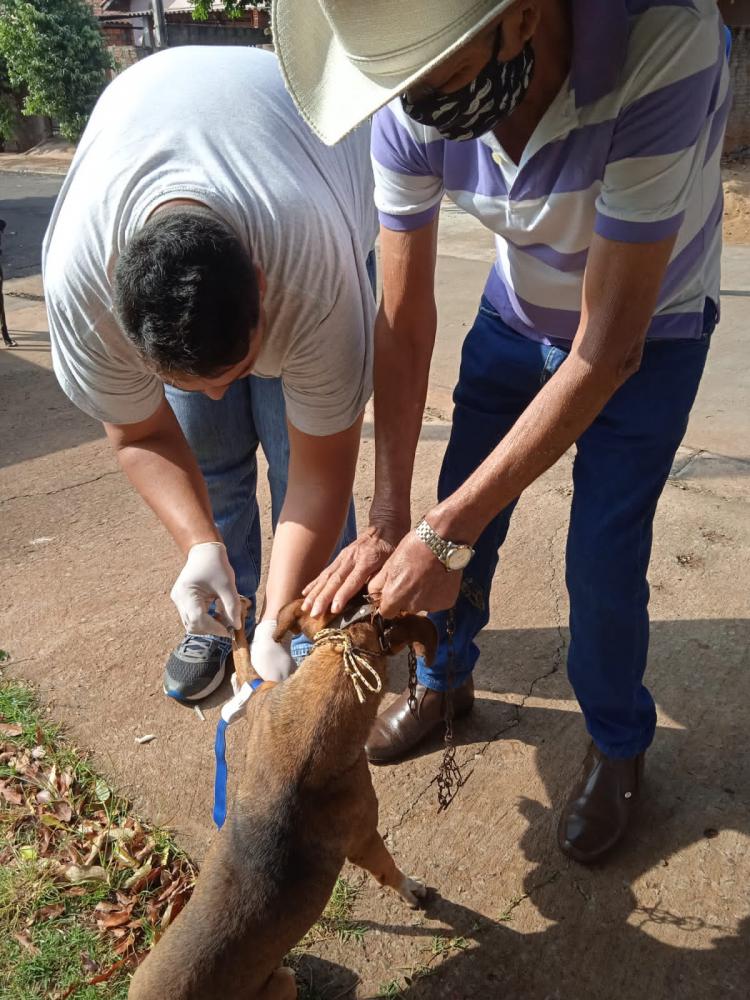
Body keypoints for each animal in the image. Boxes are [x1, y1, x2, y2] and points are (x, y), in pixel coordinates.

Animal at [128, 600, 434, 1000]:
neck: (337, 662)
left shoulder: (262, 696)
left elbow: (243, 657)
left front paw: (238, 618)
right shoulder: (365, 839)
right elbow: (388, 870)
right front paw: (411, 889)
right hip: (283, 981)